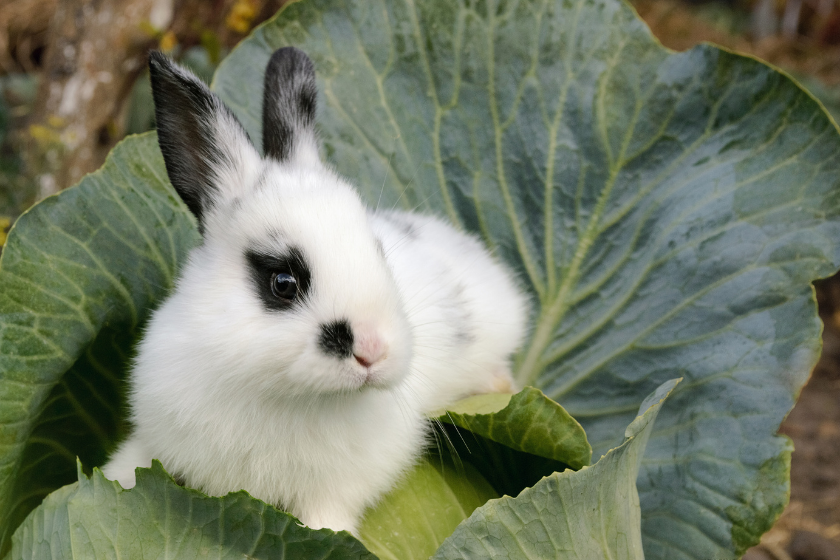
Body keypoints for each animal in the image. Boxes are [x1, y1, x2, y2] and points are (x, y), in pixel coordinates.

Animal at [101, 47, 528, 532]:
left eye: (378, 251)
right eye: (283, 282)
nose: (373, 351)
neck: (280, 391)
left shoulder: (334, 493)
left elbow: (326, 524)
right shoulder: (157, 437)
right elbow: (132, 464)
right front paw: (108, 483)